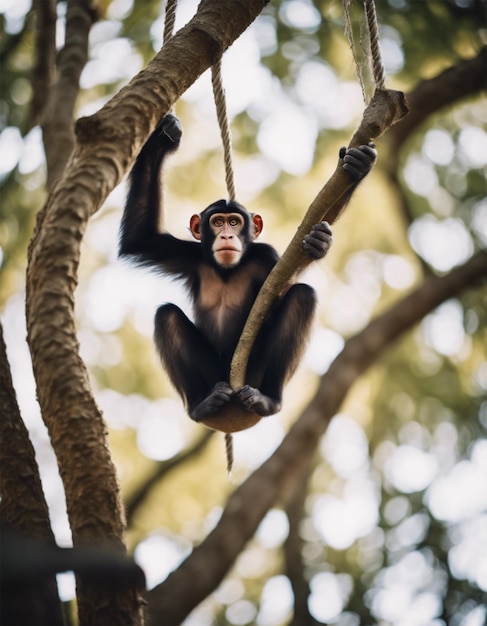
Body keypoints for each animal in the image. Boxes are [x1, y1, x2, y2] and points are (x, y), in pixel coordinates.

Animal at [119, 113, 378, 424]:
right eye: (217, 222)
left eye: (235, 222)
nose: (226, 235)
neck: (226, 270)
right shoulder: (184, 254)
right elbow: (139, 238)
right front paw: (163, 136)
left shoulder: (266, 258)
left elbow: (281, 288)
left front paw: (355, 170)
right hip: (215, 379)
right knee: (166, 316)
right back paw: (201, 405)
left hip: (252, 378)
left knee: (302, 297)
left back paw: (269, 400)